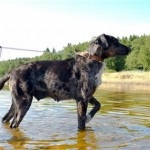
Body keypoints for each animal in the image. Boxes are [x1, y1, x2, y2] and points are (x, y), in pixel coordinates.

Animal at [0, 33, 129, 129]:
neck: (92, 59)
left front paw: (88, 117)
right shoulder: (82, 99)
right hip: (24, 102)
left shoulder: (88, 96)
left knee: (5, 119)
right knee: (14, 124)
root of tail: (12, 72)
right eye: (115, 41)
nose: (130, 48)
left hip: (16, 102)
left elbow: (98, 105)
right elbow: (81, 124)